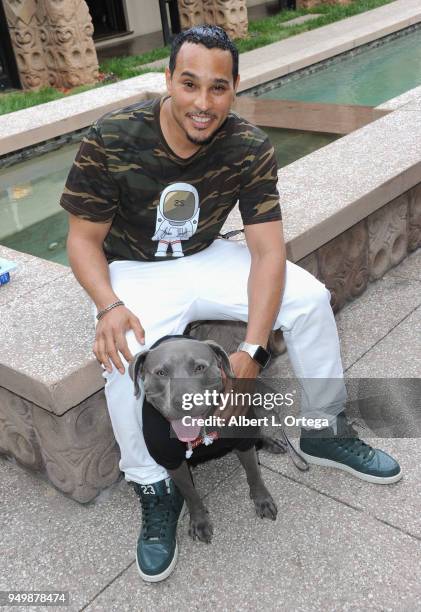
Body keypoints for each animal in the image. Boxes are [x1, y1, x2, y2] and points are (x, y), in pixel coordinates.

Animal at [130, 338, 278, 544]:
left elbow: (254, 474)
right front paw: (199, 520)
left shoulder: (243, 442)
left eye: (199, 367)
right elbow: (190, 494)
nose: (183, 401)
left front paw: (262, 499)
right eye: (161, 373)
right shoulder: (173, 463)